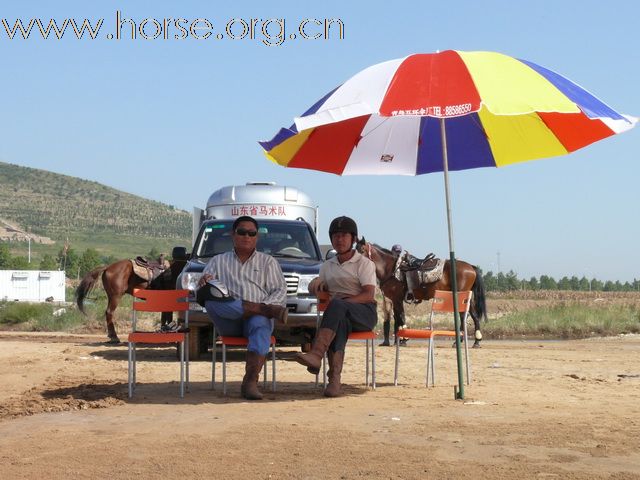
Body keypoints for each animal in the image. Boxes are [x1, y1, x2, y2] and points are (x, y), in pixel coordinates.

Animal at [358, 238, 488, 346]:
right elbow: (398, 318)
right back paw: (476, 341)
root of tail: (471, 267)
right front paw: (401, 339)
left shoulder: (397, 299)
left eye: (362, 249)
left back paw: (459, 341)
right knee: (474, 316)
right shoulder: (395, 300)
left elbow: (401, 317)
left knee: (463, 316)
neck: (392, 269)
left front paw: (404, 339)